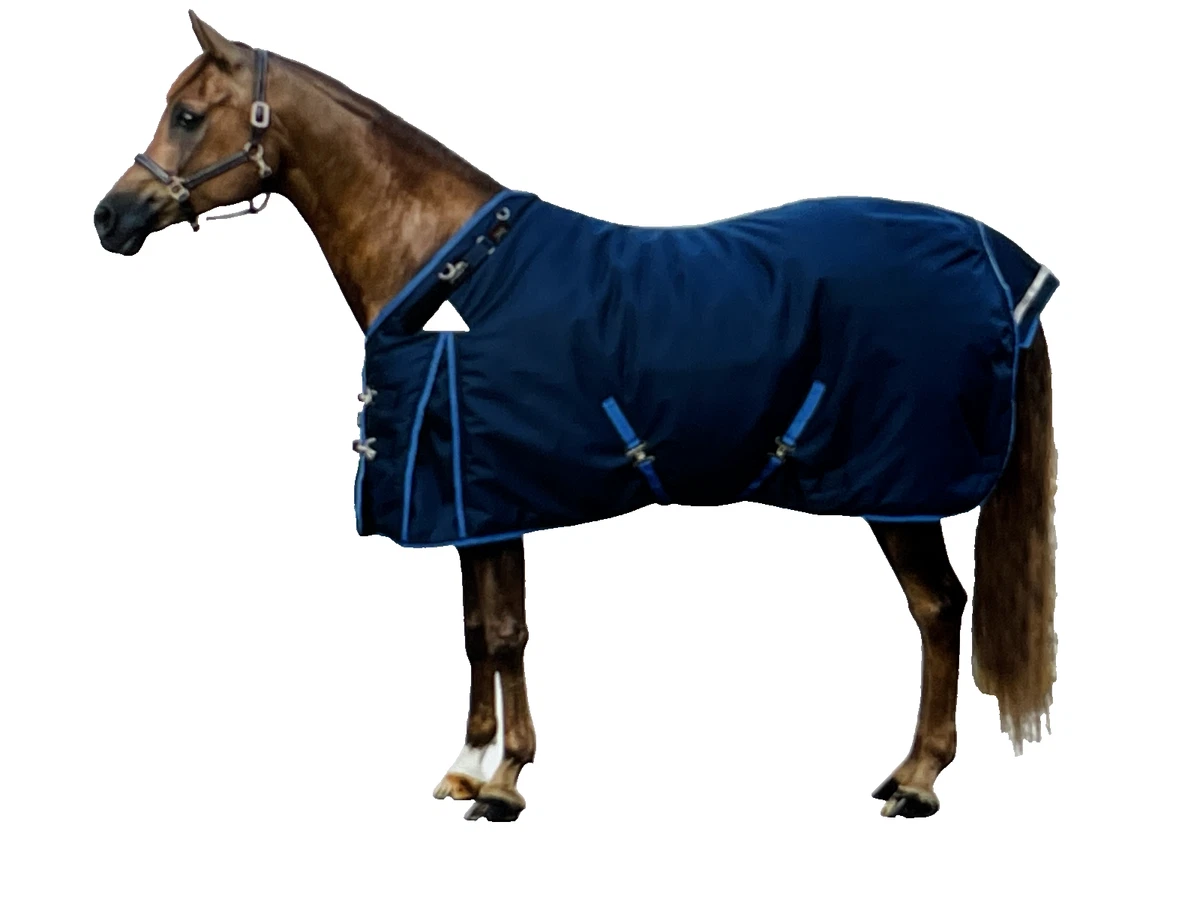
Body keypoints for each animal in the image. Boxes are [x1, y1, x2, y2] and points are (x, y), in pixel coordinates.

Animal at [93, 11, 1057, 822]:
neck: (449, 271)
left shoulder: (493, 489)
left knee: (937, 607)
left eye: (187, 114)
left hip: (899, 490)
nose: (109, 217)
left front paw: (507, 782)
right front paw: (467, 765)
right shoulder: (467, 501)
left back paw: (918, 779)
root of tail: (1002, 263)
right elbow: (477, 632)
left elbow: (508, 632)